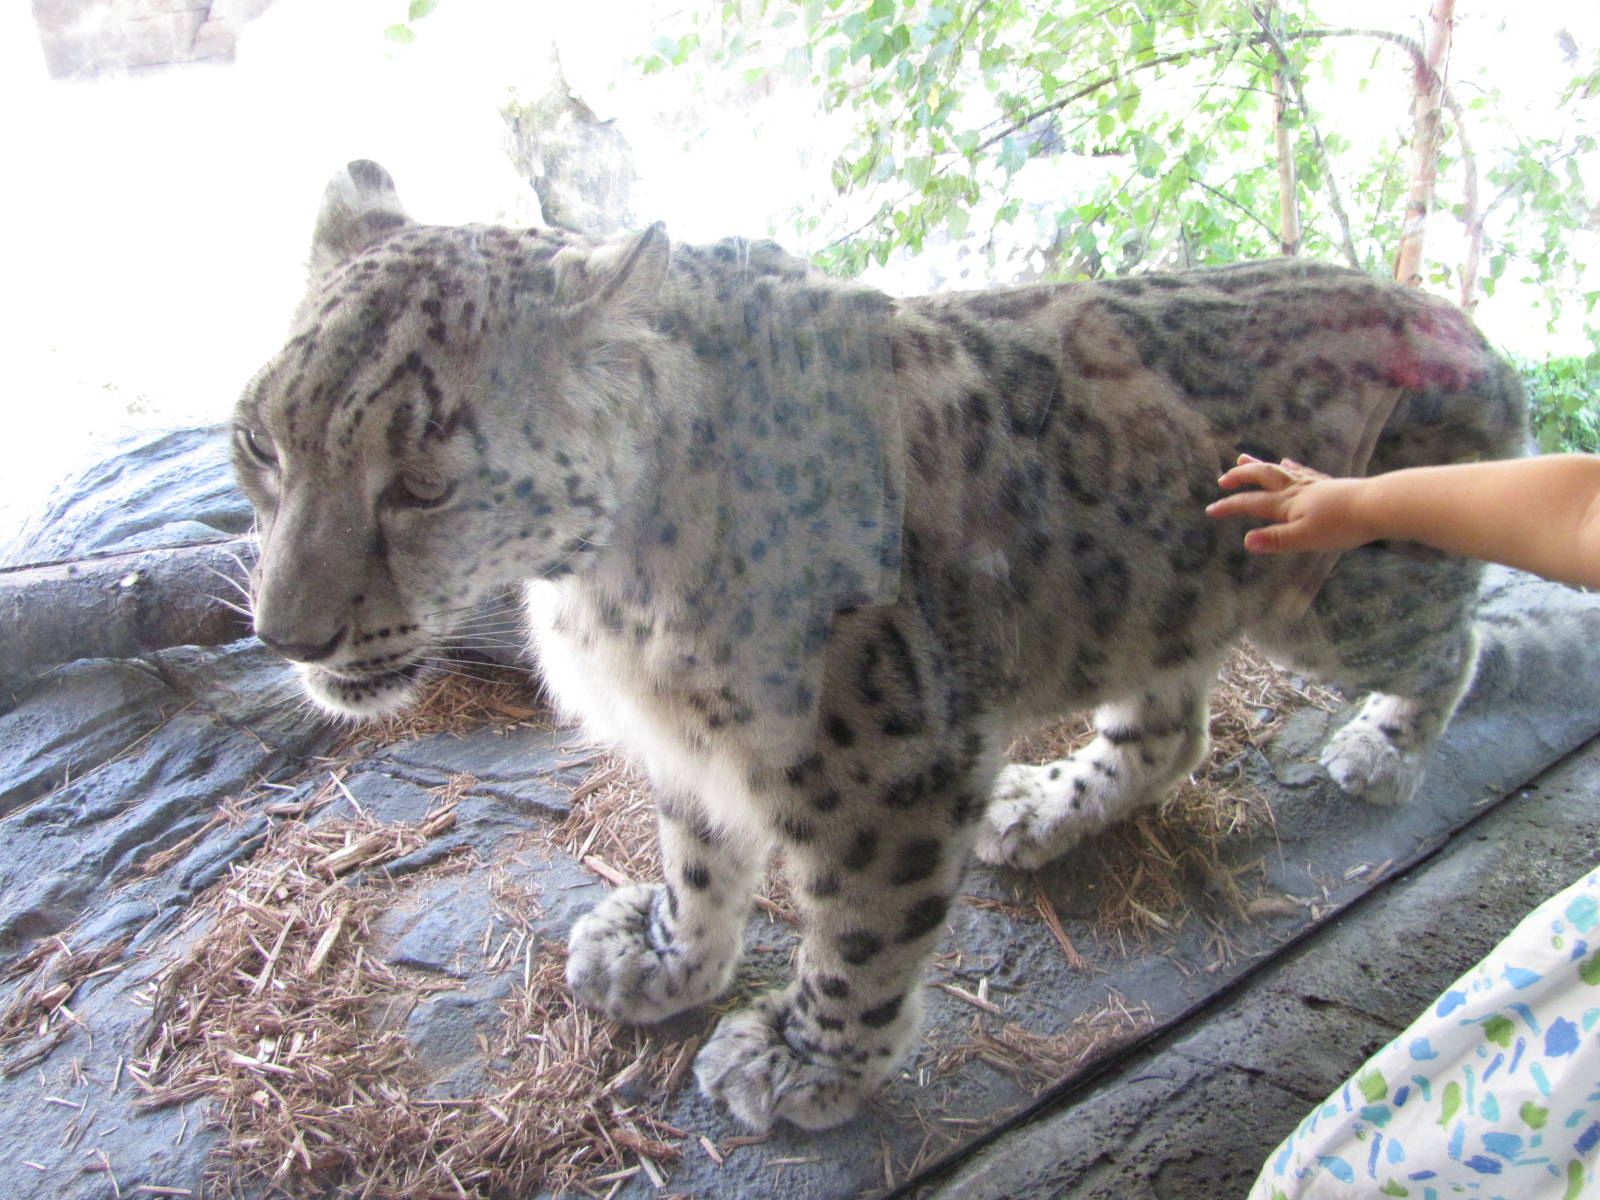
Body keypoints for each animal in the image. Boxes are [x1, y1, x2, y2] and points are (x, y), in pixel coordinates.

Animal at [233, 159, 1526, 1133]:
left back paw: (1383, 750)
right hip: (1154, 606)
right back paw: (1044, 806)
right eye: (258, 441)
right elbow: (697, 858)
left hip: (1346, 599)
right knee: (1171, 730)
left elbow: (856, 932)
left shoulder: (880, 765)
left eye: (423, 482)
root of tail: (1472, 328)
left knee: (1450, 640)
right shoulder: (689, 743)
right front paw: (660, 958)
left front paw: (802, 1063)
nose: (281, 631)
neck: (601, 593)